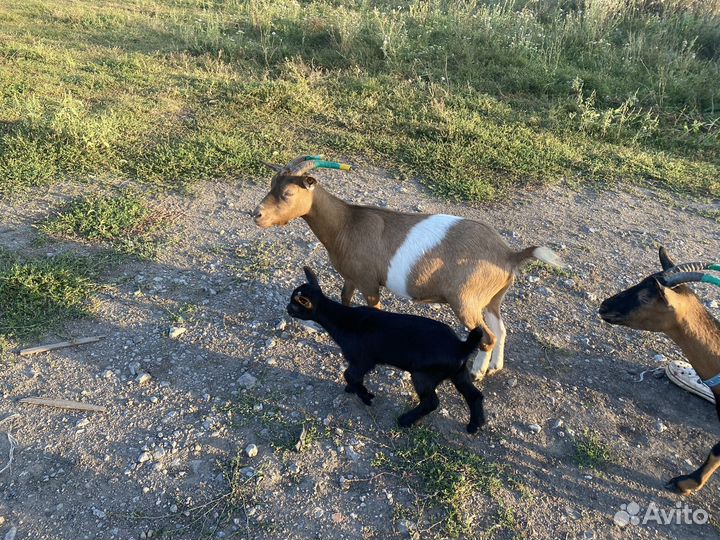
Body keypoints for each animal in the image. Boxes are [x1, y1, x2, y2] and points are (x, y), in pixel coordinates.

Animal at [253, 155, 561, 381]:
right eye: (271, 183)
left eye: (288, 192)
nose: (256, 214)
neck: (346, 224)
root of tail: (509, 254)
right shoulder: (352, 277)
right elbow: (345, 300)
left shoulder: (369, 284)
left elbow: (373, 312)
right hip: (491, 297)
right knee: (501, 329)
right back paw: (495, 366)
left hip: (465, 301)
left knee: (488, 336)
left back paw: (477, 372)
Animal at [287, 266, 487, 433]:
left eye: (295, 305)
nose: (287, 308)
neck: (343, 319)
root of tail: (460, 346)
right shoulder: (360, 363)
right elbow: (352, 377)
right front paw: (354, 390)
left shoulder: (362, 360)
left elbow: (349, 375)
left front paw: (365, 396)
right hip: (459, 373)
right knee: (474, 396)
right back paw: (474, 425)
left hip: (423, 375)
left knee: (431, 402)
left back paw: (405, 420)